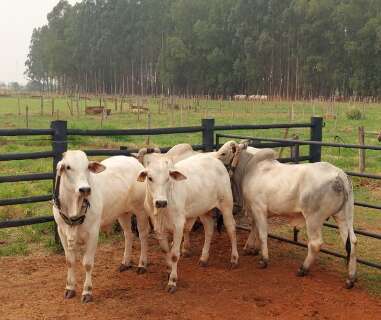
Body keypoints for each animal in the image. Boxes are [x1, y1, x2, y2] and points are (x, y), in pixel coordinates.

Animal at [52, 151, 150, 302]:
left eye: (87, 166)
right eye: (68, 167)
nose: (85, 189)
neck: (73, 206)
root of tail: (133, 161)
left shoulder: (93, 232)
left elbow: (87, 263)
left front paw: (87, 291)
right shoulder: (62, 231)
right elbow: (70, 261)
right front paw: (69, 288)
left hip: (141, 210)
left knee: (143, 235)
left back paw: (142, 264)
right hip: (122, 212)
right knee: (128, 234)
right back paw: (125, 263)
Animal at [137, 152, 238, 292]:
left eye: (168, 178)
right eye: (150, 178)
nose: (161, 202)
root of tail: (215, 160)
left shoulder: (178, 225)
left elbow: (174, 254)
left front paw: (172, 281)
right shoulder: (158, 226)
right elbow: (165, 249)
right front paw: (169, 269)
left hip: (226, 204)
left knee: (231, 228)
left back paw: (234, 259)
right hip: (203, 209)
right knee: (209, 229)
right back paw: (204, 258)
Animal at [217, 141, 356, 288]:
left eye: (223, 153)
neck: (250, 167)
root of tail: (339, 175)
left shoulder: (259, 208)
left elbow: (262, 234)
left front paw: (264, 259)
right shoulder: (254, 210)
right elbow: (255, 228)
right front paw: (250, 249)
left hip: (313, 218)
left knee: (315, 243)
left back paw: (303, 269)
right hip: (344, 216)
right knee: (352, 242)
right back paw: (351, 278)